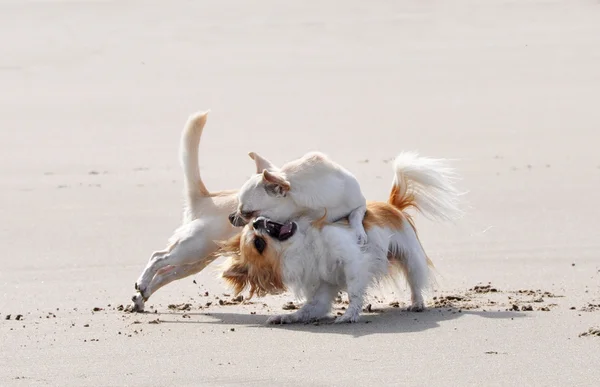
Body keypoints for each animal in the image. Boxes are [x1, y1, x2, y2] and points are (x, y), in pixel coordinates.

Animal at [131, 110, 239, 314]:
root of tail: (207, 197)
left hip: (195, 261)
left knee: (164, 273)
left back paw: (141, 297)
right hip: (193, 249)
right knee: (158, 257)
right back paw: (141, 284)